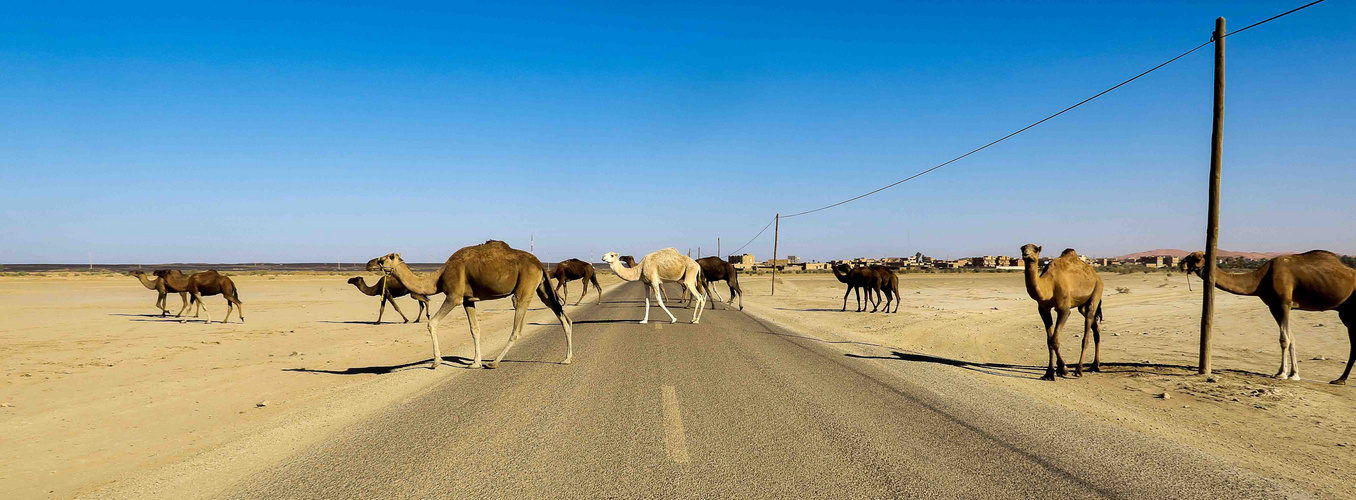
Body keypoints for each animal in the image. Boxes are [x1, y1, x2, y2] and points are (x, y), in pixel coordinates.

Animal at [366, 239, 572, 368]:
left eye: (382, 259)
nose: (369, 263)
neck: (438, 277)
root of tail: (539, 263)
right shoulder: (468, 300)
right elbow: (475, 329)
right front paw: (475, 363)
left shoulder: (454, 296)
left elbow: (432, 323)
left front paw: (436, 362)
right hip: (542, 288)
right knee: (563, 316)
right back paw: (567, 359)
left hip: (524, 288)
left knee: (517, 328)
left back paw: (494, 362)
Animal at [1019, 243, 1106, 379]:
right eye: (1022, 248)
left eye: (1035, 249)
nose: (1026, 254)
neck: (1049, 285)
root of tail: (1097, 276)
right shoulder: (1043, 309)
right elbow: (1049, 340)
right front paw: (1049, 373)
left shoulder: (1064, 309)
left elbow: (1054, 340)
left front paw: (1063, 369)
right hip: (1082, 306)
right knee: (1095, 328)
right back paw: (1094, 366)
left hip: (1097, 290)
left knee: (1088, 326)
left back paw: (1079, 370)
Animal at [1177, 250, 1356, 384]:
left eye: (1197, 257)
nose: (1181, 263)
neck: (1261, 279)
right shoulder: (1274, 306)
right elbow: (1291, 338)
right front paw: (1292, 373)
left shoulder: (1284, 303)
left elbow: (1284, 339)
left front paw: (1283, 374)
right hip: (1345, 312)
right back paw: (1340, 379)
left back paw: (1340, 379)